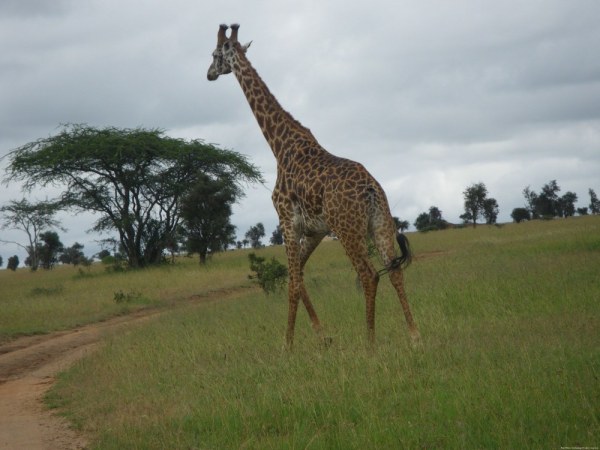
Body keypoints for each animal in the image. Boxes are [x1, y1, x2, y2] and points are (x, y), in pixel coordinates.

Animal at [209, 23, 420, 348]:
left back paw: (370, 344)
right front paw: (323, 336)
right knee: (395, 272)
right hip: (381, 223)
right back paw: (414, 337)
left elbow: (294, 282)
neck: (280, 145)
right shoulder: (315, 231)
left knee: (369, 274)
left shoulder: (287, 220)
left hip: (347, 229)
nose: (208, 74)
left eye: (214, 54)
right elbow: (296, 277)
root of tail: (371, 190)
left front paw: (287, 345)